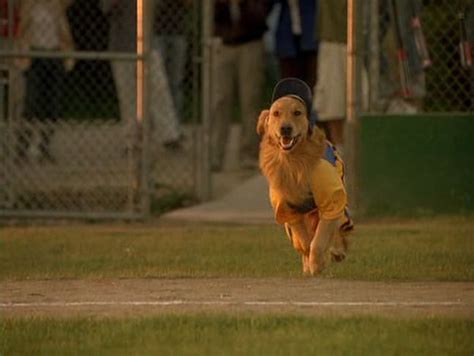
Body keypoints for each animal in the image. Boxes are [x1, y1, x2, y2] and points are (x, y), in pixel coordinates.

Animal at [256, 78, 352, 276]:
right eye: (276, 113)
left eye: (297, 113)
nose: (285, 128)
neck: (294, 160)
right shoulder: (288, 209)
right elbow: (305, 241)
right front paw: (311, 264)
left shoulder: (331, 202)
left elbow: (319, 240)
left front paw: (317, 264)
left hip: (340, 208)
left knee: (338, 231)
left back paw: (337, 251)